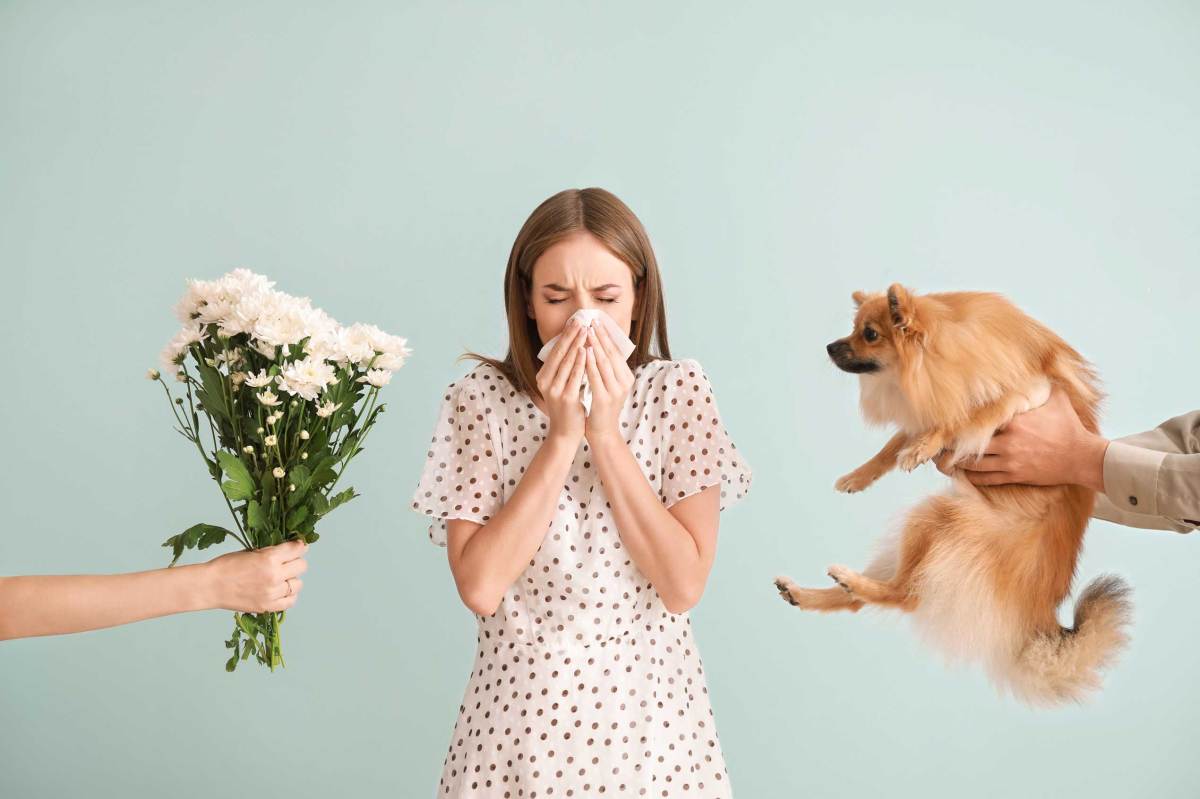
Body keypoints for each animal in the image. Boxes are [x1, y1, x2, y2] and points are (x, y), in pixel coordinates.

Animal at [772, 283, 1128, 700]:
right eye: (853, 328)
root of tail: (1039, 617)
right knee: (870, 600)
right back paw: (804, 592)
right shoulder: (926, 408)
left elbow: (969, 415)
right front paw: (859, 476)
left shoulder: (1029, 392)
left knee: (905, 595)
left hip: (939, 518)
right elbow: (893, 445)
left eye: (870, 334)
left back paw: (848, 579)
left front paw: (925, 446)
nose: (830, 346)